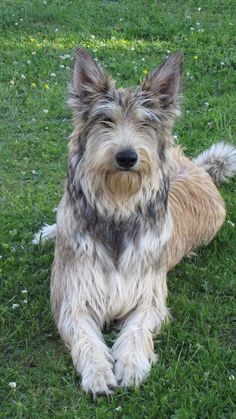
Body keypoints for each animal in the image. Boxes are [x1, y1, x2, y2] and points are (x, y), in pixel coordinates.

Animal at [33, 47, 236, 396]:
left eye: (145, 123)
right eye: (106, 120)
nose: (127, 157)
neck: (118, 208)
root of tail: (199, 168)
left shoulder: (148, 299)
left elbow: (137, 330)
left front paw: (130, 365)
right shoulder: (72, 300)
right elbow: (87, 338)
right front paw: (98, 372)